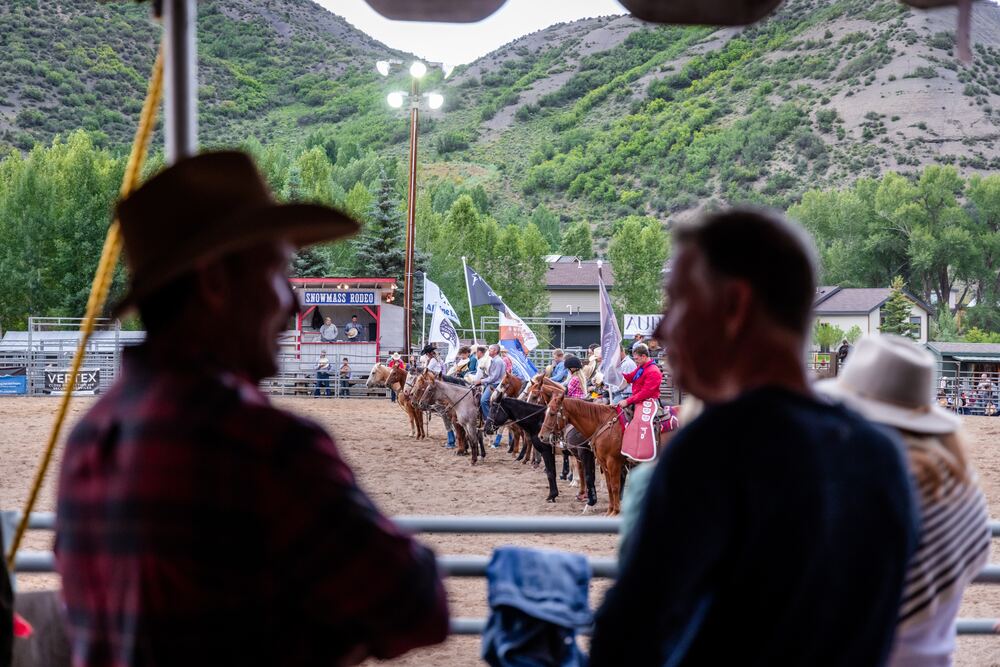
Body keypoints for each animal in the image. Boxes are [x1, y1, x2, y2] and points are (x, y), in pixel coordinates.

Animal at [540, 396, 680, 516]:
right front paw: (610, 510)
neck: (602, 424)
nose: (541, 436)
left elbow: (615, 486)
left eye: (552, 413)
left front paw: (616, 511)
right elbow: (609, 486)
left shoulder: (613, 462)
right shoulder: (603, 463)